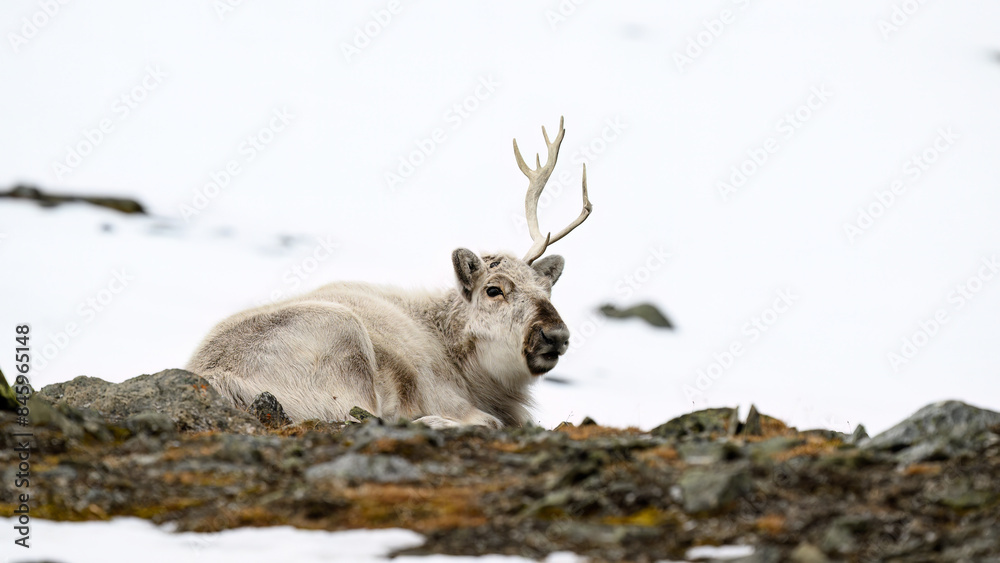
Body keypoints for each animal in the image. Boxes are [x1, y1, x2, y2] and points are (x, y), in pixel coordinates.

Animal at [186, 117, 592, 428]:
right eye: (494, 290)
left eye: (546, 289)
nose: (555, 335)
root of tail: (218, 379)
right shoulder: (446, 396)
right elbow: (490, 421)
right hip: (343, 344)